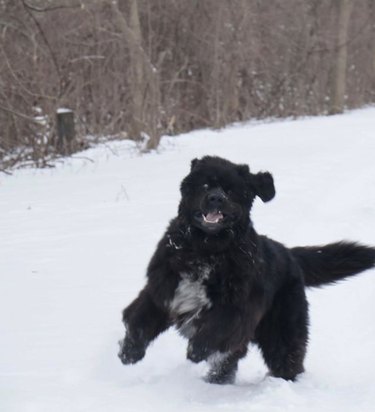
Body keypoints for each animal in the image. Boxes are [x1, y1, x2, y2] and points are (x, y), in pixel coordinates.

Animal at [118, 156, 375, 384]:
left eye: (231, 190)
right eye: (205, 185)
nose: (216, 198)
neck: (206, 251)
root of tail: (289, 253)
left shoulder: (238, 308)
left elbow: (216, 327)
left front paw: (196, 350)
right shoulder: (162, 289)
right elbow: (140, 319)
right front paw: (129, 352)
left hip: (282, 328)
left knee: (286, 356)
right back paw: (216, 381)